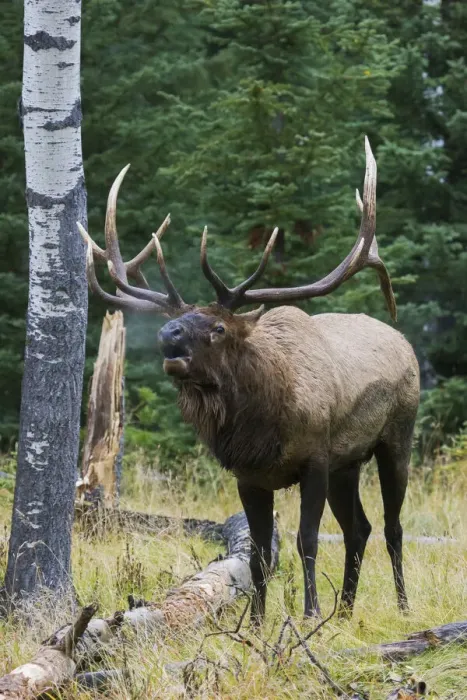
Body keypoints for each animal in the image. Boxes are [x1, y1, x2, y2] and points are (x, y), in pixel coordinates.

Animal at [78, 137, 420, 624]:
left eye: (219, 327)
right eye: (174, 320)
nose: (168, 335)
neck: (261, 428)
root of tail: (403, 341)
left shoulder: (315, 458)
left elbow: (306, 540)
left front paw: (310, 614)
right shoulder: (249, 477)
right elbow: (258, 552)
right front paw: (257, 621)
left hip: (395, 437)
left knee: (393, 525)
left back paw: (401, 606)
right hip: (348, 463)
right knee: (360, 527)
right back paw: (346, 610)